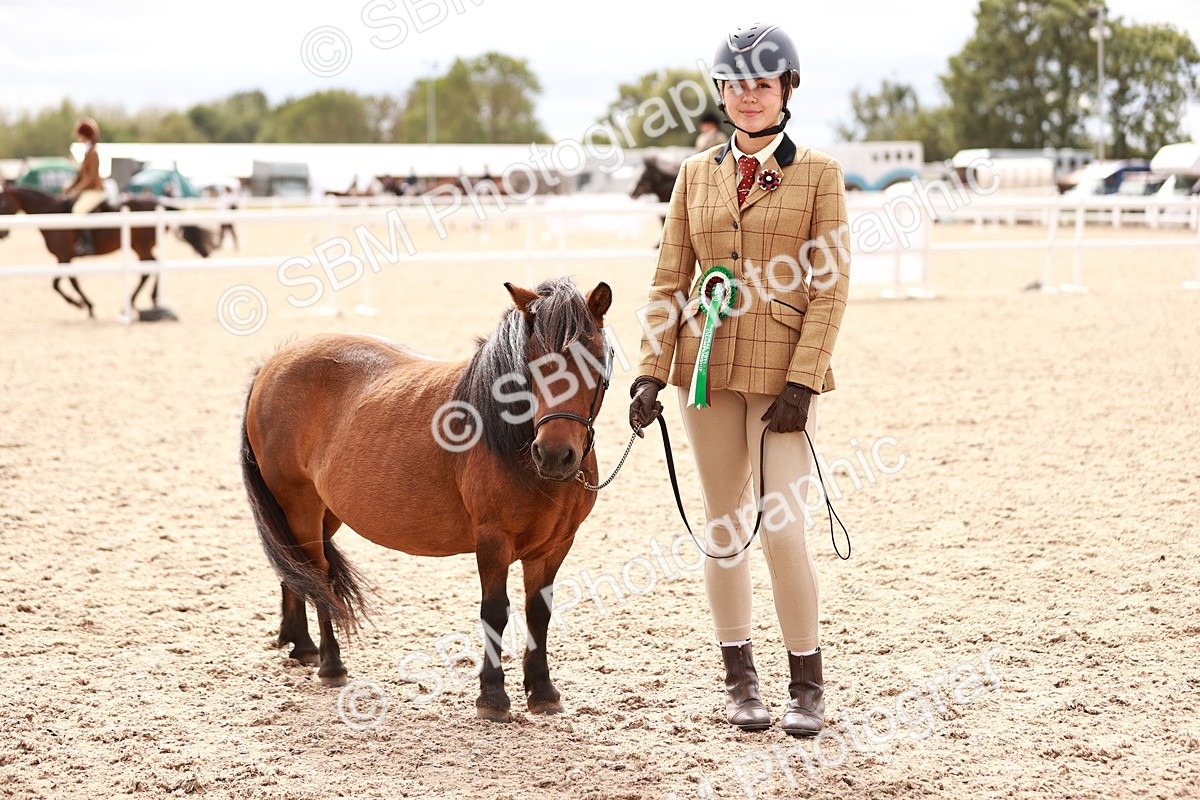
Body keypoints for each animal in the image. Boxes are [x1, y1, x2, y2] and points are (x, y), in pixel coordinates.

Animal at [0, 186, 216, 317]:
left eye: (2, 205)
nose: (2, 233)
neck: (52, 215)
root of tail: (159, 204)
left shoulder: (64, 256)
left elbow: (60, 283)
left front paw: (82, 305)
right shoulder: (64, 258)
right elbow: (67, 282)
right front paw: (85, 306)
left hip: (141, 245)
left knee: (149, 267)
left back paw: (137, 302)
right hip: (140, 246)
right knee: (151, 267)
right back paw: (144, 301)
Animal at [240, 277, 613, 722]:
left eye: (595, 357)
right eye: (531, 360)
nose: (555, 455)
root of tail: (271, 364)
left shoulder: (555, 545)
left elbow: (538, 613)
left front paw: (542, 691)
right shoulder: (492, 540)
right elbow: (495, 611)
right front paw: (492, 696)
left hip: (323, 511)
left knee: (296, 568)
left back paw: (302, 645)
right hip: (300, 504)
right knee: (315, 574)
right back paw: (331, 664)